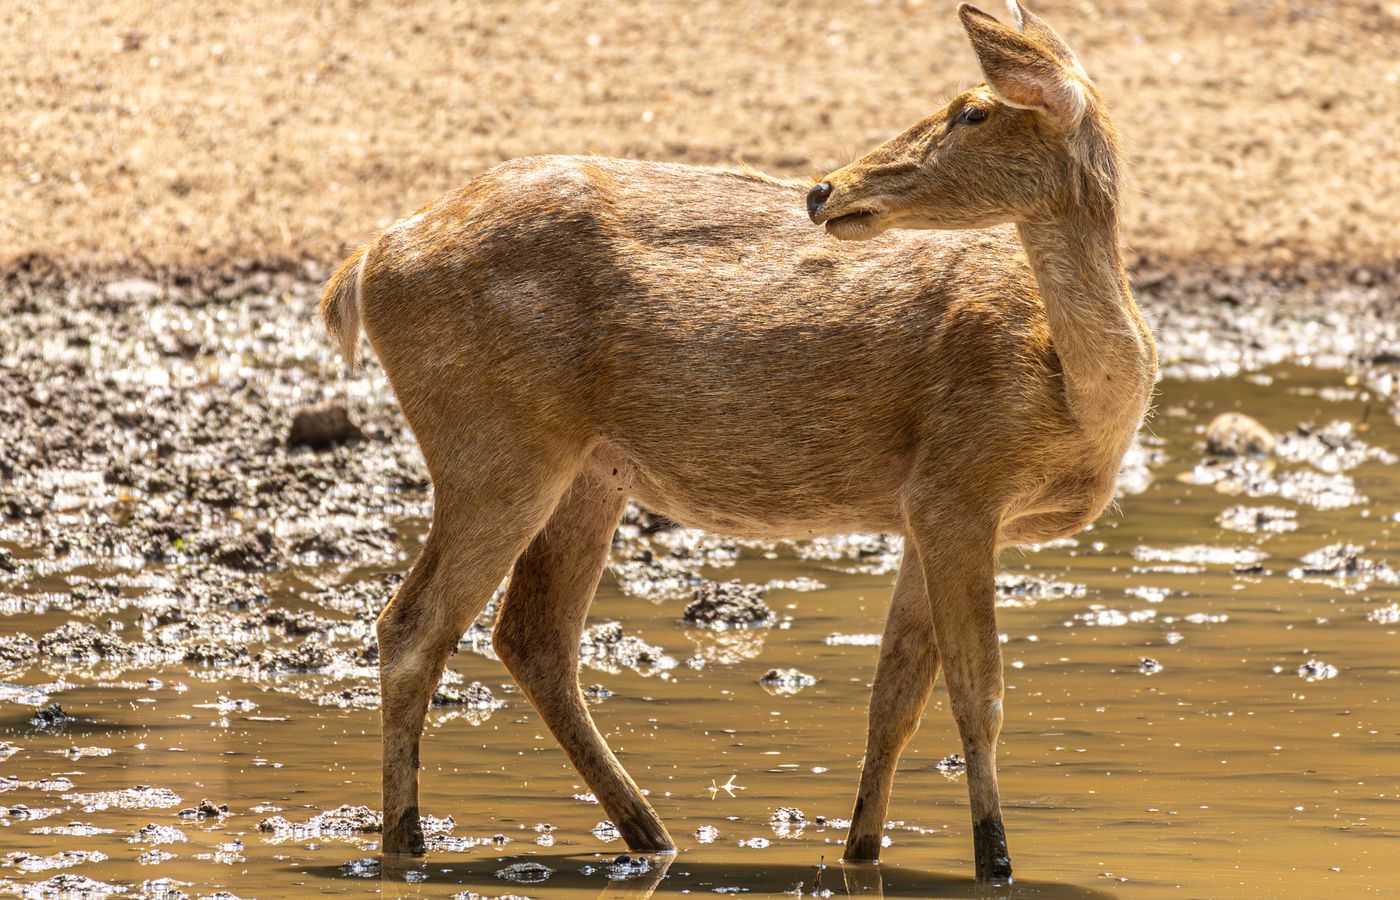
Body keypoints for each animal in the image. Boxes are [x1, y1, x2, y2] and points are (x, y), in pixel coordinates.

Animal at [319, 0, 1155, 883]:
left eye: (974, 111)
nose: (824, 190)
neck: (1072, 394)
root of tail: (364, 265)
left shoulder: (923, 508)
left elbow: (892, 699)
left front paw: (861, 852)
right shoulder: (959, 483)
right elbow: (979, 694)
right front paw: (995, 864)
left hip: (589, 470)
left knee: (531, 636)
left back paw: (651, 837)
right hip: (494, 444)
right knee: (414, 626)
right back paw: (405, 845)